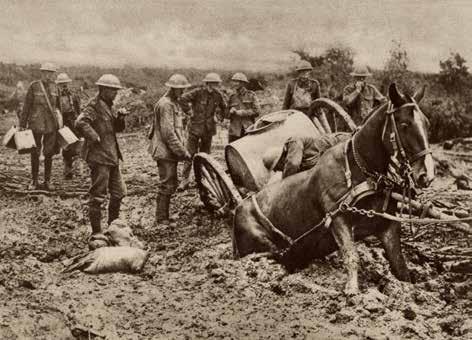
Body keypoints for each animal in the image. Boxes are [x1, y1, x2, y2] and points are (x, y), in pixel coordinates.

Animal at [232, 83, 436, 294]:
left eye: (427, 124)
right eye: (404, 125)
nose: (426, 175)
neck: (360, 171)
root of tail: (238, 209)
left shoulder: (388, 226)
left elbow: (400, 266)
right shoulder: (338, 219)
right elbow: (351, 255)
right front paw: (352, 291)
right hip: (262, 245)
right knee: (267, 255)